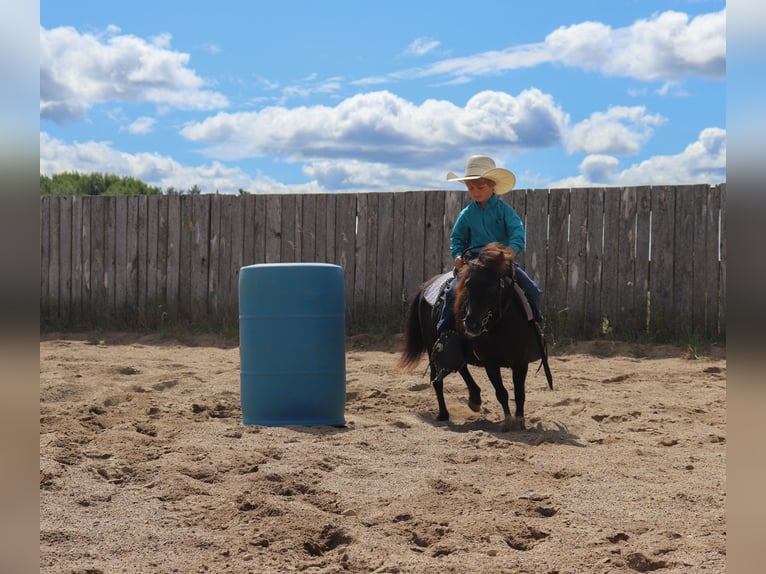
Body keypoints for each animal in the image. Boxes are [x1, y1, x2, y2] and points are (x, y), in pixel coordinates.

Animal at [402, 243, 552, 432]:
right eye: (467, 284)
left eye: (492, 287)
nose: (471, 324)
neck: (502, 327)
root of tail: (425, 286)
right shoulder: (490, 363)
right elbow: (501, 392)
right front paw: (508, 421)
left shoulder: (520, 363)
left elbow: (519, 393)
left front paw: (519, 421)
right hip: (431, 346)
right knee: (438, 379)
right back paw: (444, 414)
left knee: (459, 364)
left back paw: (475, 398)